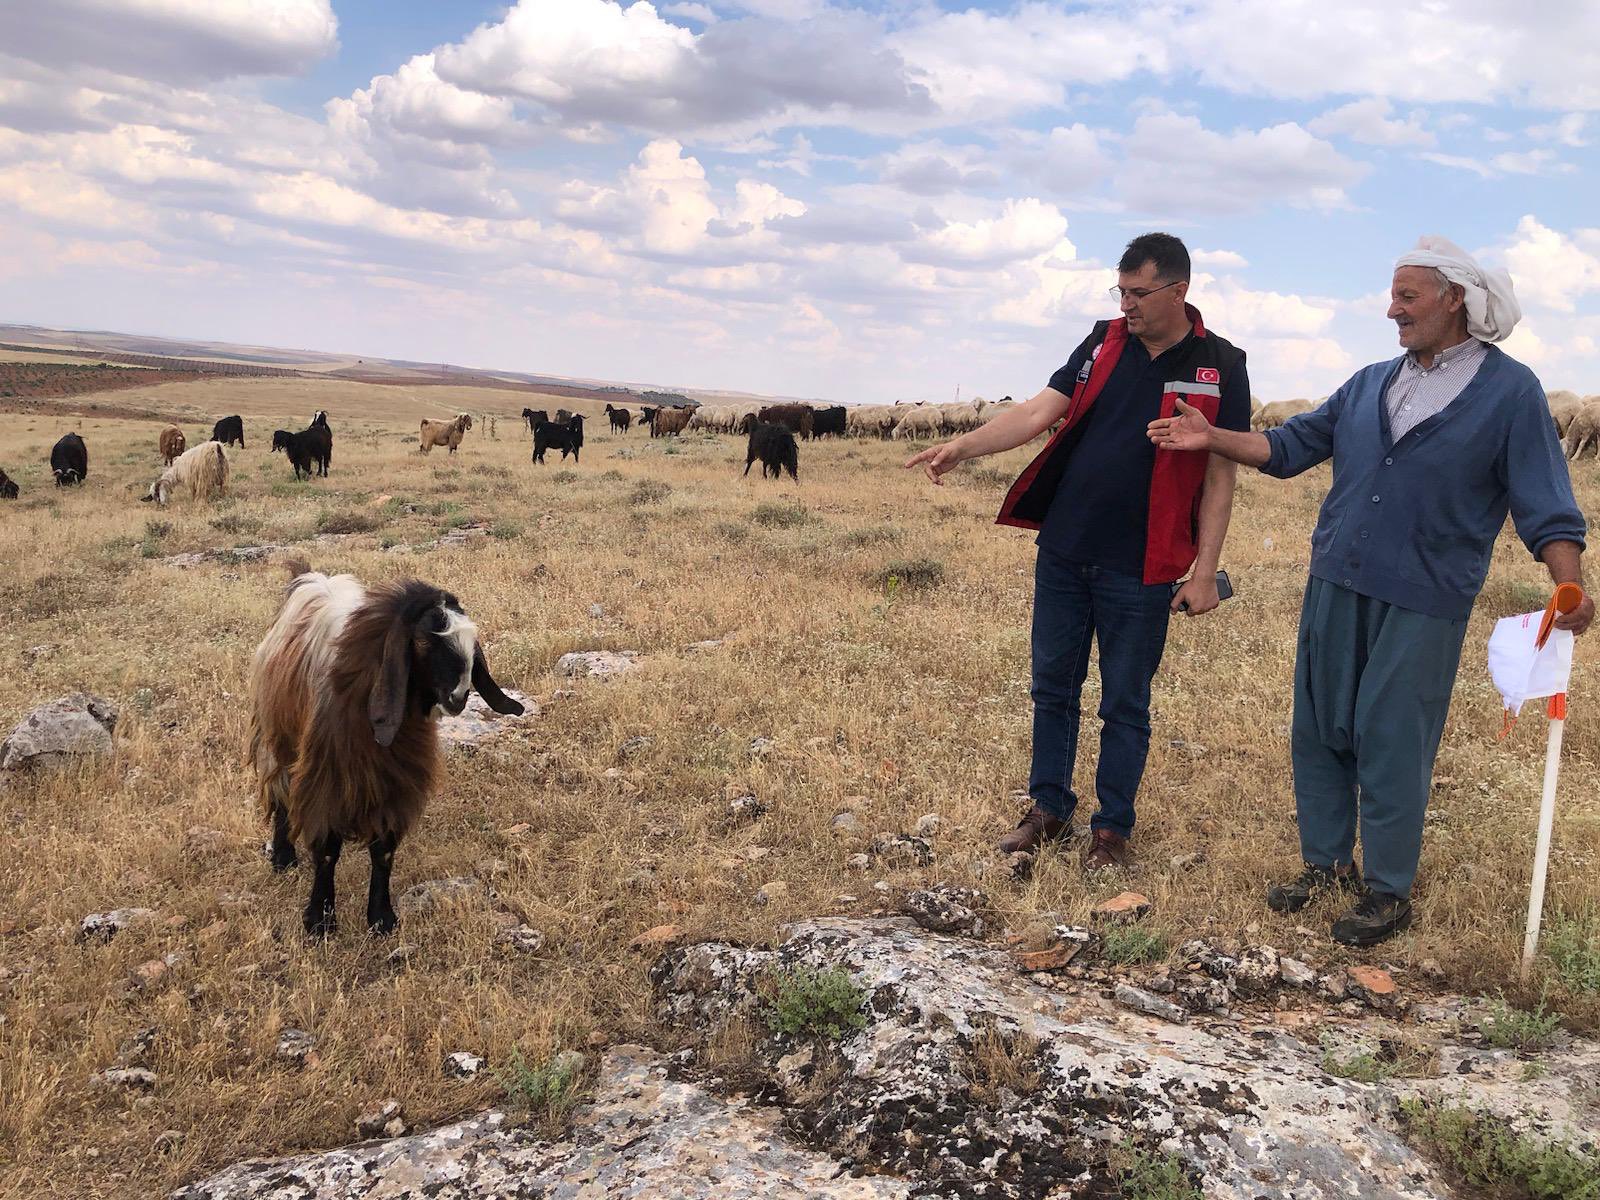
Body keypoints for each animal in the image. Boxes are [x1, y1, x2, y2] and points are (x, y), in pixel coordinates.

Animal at [249, 566, 521, 940]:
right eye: (425, 640)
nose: (459, 697)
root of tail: (311, 582)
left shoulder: (396, 781)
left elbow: (384, 851)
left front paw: (382, 918)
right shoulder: (328, 776)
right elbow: (327, 851)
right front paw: (320, 921)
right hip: (278, 739)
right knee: (280, 793)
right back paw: (283, 857)